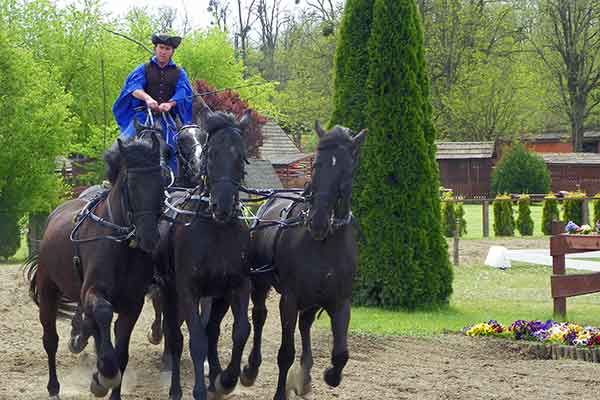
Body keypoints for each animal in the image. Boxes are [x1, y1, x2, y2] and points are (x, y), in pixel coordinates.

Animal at [24, 135, 164, 400]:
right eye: (130, 185)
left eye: (160, 182)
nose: (150, 238)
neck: (120, 243)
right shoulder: (93, 291)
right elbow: (103, 312)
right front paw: (105, 375)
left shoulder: (132, 304)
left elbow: (121, 353)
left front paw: (105, 381)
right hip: (48, 291)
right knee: (50, 340)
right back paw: (54, 388)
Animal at [158, 110, 252, 400]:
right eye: (212, 154)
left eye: (241, 156)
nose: (222, 205)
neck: (216, 229)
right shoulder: (188, 289)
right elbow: (196, 340)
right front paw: (199, 389)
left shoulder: (235, 286)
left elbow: (240, 332)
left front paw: (226, 380)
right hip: (169, 291)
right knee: (175, 336)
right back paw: (175, 388)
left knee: (211, 330)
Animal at [240, 122, 366, 400]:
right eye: (316, 164)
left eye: (347, 169)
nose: (318, 221)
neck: (324, 243)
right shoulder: (289, 299)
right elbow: (285, 353)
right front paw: (280, 392)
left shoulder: (340, 301)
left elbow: (341, 354)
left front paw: (330, 375)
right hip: (261, 284)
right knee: (260, 316)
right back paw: (251, 368)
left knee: (306, 325)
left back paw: (305, 376)